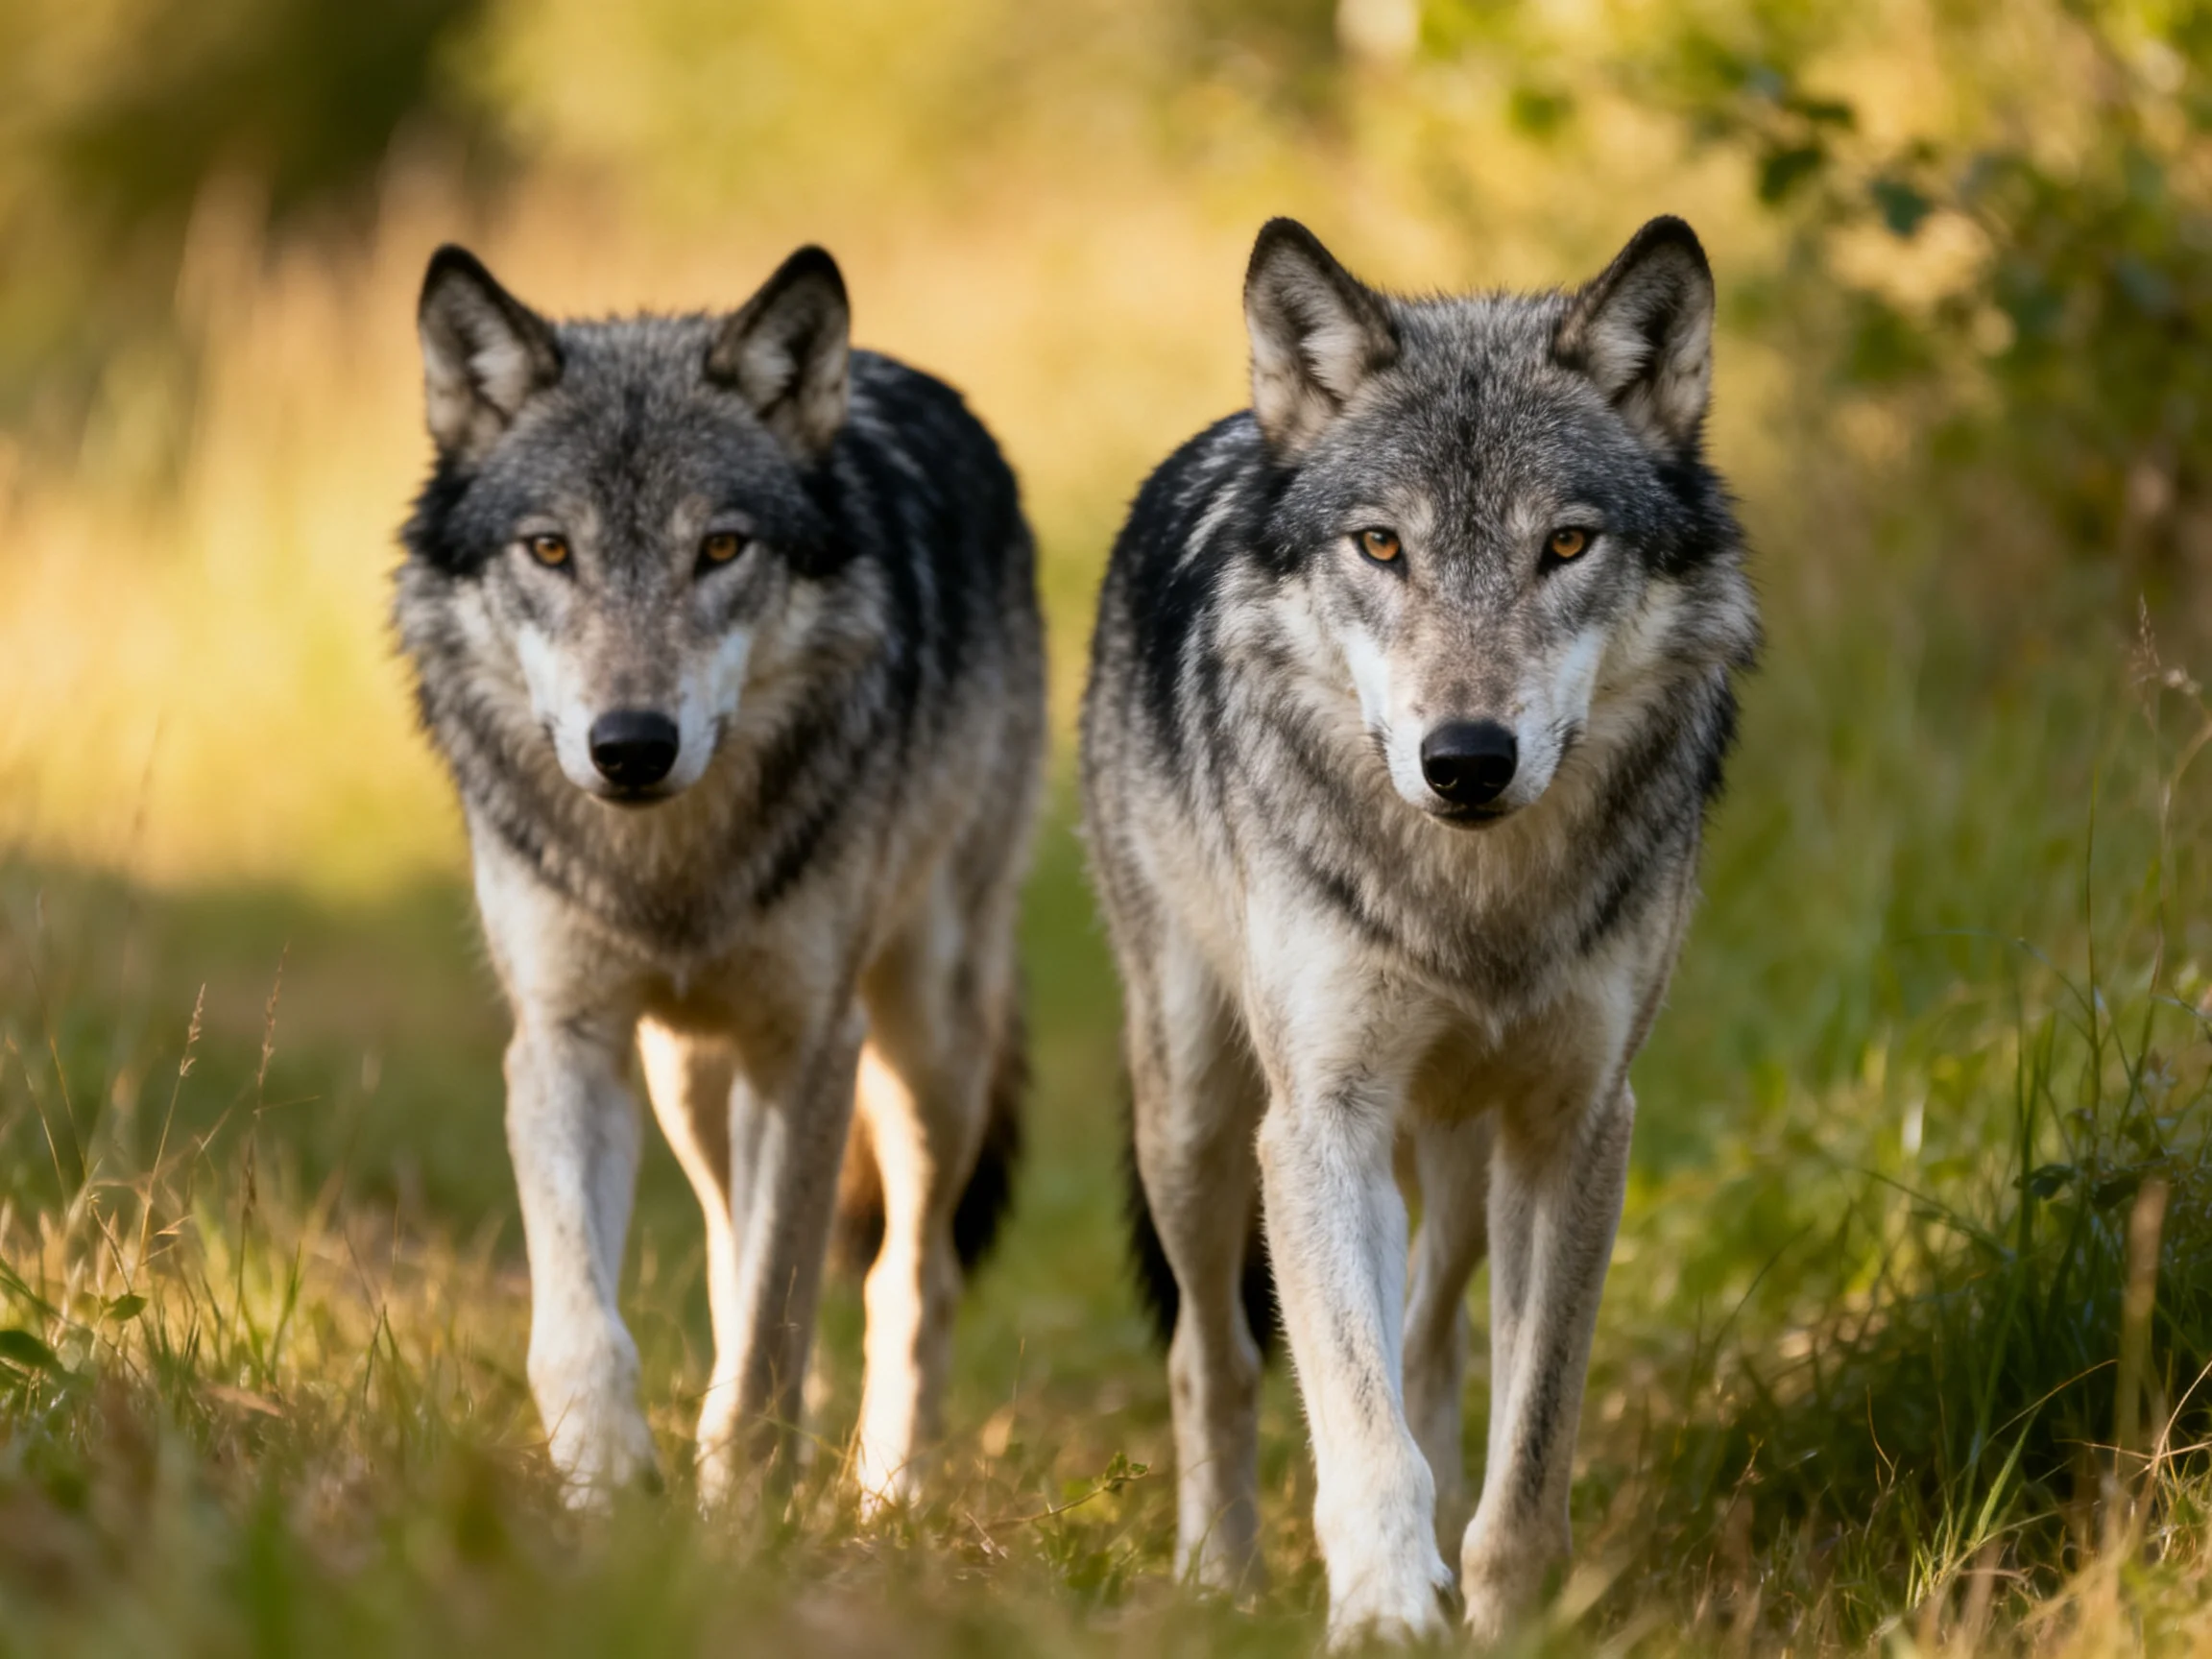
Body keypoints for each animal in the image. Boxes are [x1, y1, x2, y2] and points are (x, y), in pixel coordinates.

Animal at [396, 242, 1044, 1509]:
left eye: (721, 548)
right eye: (552, 549)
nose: (632, 745)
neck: (669, 874)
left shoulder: (811, 1043)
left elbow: (770, 1332)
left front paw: (743, 1512)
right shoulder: (566, 1037)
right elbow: (581, 1326)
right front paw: (609, 1484)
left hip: (926, 1043)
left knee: (911, 1276)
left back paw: (889, 1493)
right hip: (689, 1078)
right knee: (730, 1244)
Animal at [1082, 216, 1758, 1643]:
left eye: (1567, 545)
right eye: (1383, 547)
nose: (1466, 759)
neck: (1474, 903)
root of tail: (1234, 427)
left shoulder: (1578, 1122)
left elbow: (1528, 1447)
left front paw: (1504, 1617)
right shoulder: (1319, 1121)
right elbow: (1357, 1427)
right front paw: (1385, 1616)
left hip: (1455, 1161)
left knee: (1432, 1340)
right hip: (1197, 1118)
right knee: (1214, 1356)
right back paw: (1217, 1574)